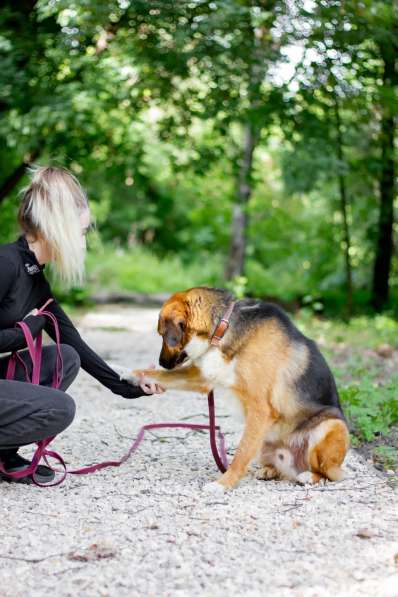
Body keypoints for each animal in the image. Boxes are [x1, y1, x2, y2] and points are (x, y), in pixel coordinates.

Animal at [133, 288, 348, 488]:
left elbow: (241, 454)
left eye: (163, 335)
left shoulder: (260, 409)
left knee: (327, 473)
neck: (222, 327)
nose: (161, 362)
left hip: (331, 426)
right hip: (264, 443)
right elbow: (160, 375)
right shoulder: (203, 378)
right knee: (278, 468)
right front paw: (133, 375)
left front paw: (223, 484)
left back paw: (309, 476)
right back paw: (269, 471)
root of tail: (294, 464)